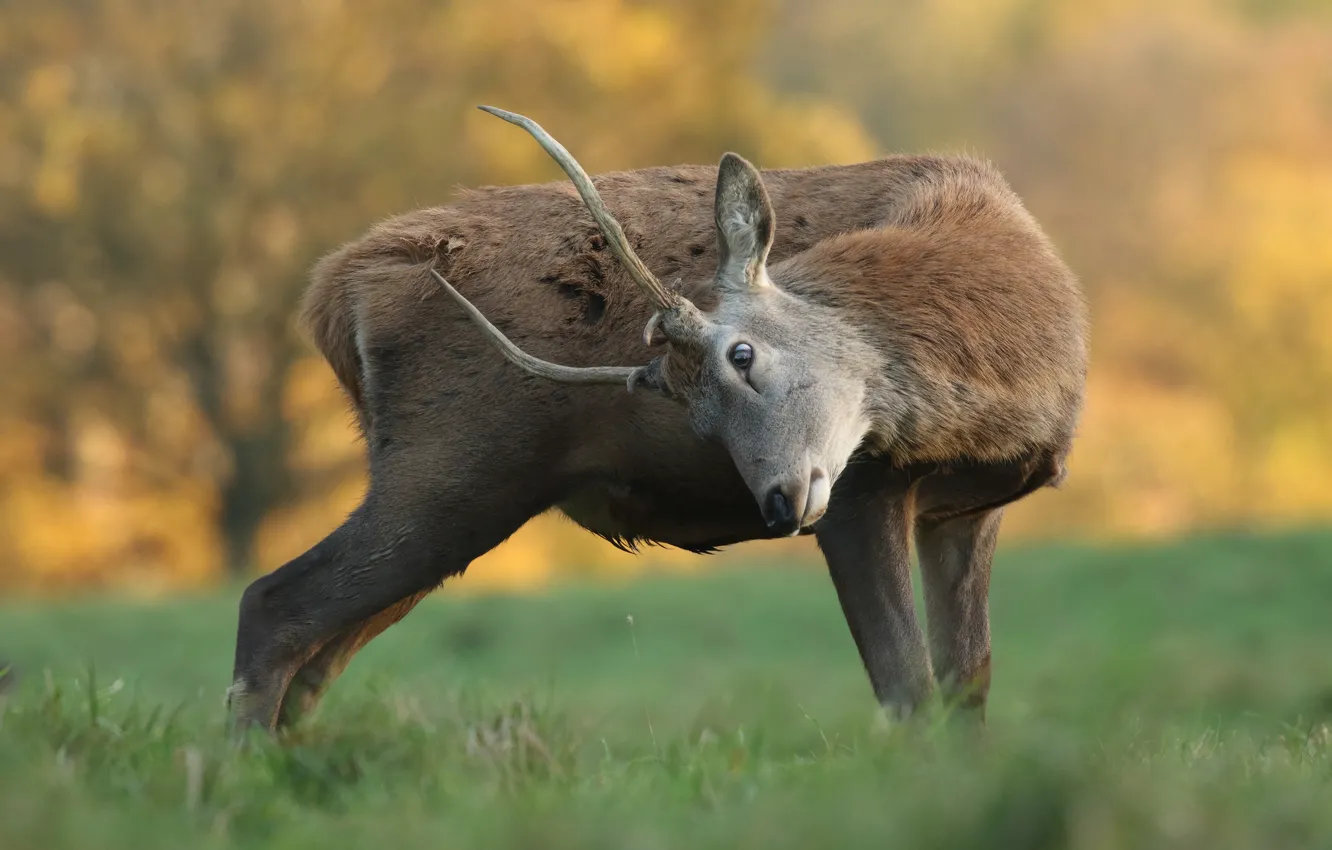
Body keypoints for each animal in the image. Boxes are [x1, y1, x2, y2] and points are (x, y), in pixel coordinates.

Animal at [227, 106, 1088, 734]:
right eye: (699, 415)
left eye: (741, 354)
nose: (777, 503)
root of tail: (333, 294)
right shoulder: (861, 487)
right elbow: (906, 688)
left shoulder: (965, 507)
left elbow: (967, 685)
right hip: (452, 465)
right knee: (274, 604)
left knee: (319, 655)